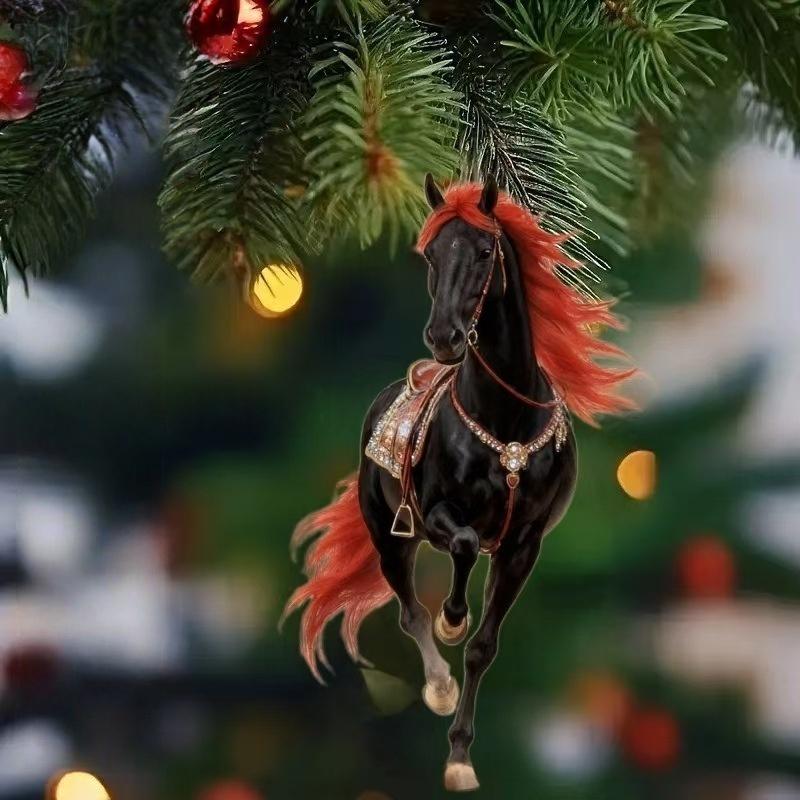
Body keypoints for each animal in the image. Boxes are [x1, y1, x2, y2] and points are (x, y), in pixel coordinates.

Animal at [284, 176, 634, 792]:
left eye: (485, 251)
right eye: (429, 254)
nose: (444, 337)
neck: (505, 424)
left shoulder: (522, 544)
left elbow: (484, 646)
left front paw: (460, 760)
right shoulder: (439, 513)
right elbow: (465, 547)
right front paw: (453, 620)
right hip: (388, 534)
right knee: (409, 610)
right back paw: (439, 681)